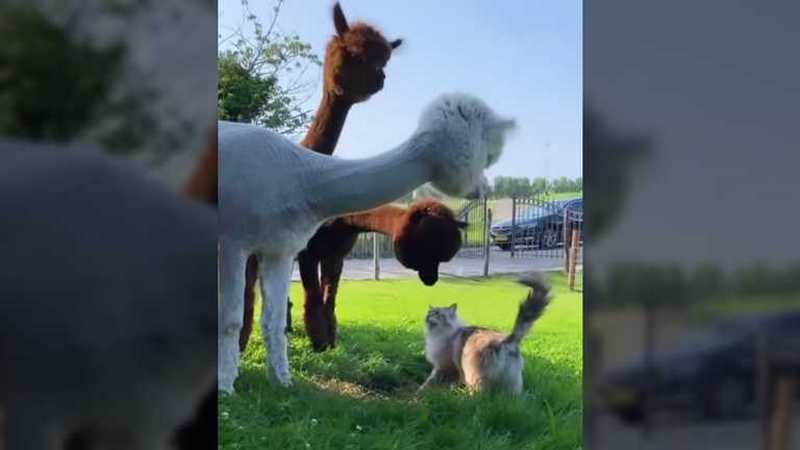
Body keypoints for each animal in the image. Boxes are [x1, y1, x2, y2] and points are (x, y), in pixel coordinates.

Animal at [418, 272, 552, 396]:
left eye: (438, 314)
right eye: (430, 313)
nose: (428, 317)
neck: (442, 334)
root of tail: (506, 341)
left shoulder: (444, 367)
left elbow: (429, 381)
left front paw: (422, 390)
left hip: (475, 376)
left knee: (479, 395)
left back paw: (464, 396)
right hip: (511, 385)